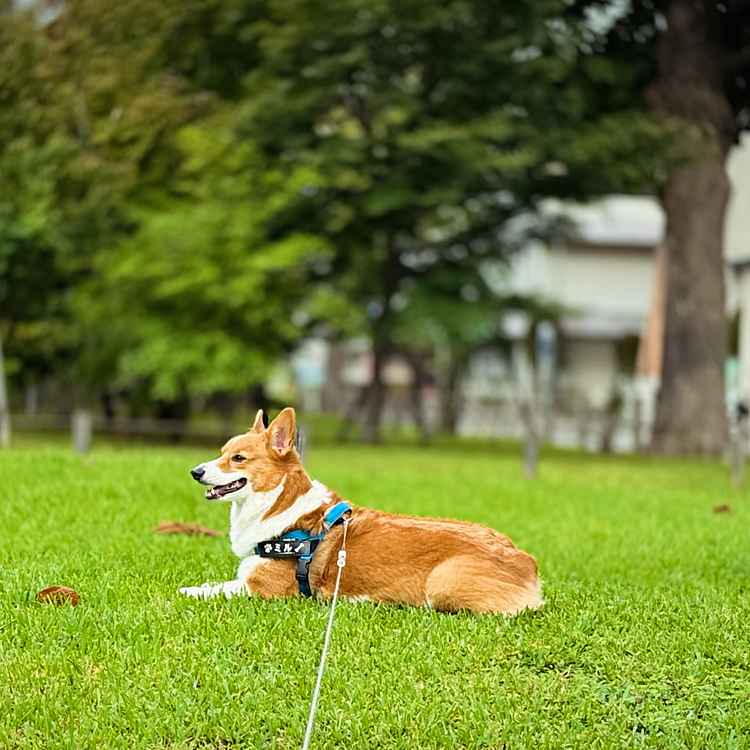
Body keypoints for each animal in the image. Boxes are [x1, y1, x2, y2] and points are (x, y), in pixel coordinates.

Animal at [182, 412, 548, 616]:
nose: (195, 472)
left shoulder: (260, 588)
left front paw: (187, 593)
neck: (279, 503)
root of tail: (526, 562)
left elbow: (214, 589)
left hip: (443, 583)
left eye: (238, 459)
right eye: (221, 453)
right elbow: (214, 583)